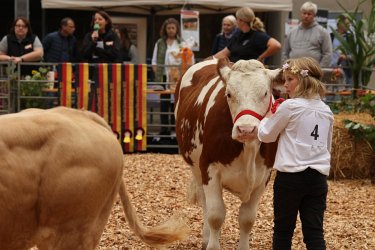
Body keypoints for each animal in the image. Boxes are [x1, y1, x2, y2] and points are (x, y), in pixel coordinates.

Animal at [175, 57, 280, 249]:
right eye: (229, 94)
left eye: (265, 93)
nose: (246, 129)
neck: (248, 150)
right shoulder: (209, 168)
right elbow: (215, 215)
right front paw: (212, 244)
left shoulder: (264, 176)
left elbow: (247, 219)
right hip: (196, 167)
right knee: (205, 202)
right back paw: (206, 237)